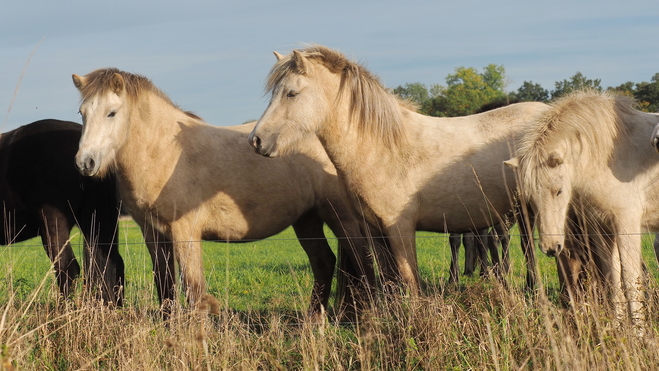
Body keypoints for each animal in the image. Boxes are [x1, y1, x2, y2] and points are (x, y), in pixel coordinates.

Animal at [71, 68, 376, 318]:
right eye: (82, 113)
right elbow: (165, 284)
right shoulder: (152, 233)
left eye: (112, 112)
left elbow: (193, 290)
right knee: (324, 262)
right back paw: (313, 323)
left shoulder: (185, 232)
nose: (85, 162)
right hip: (307, 219)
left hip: (341, 217)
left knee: (362, 262)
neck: (164, 151)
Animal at [248, 44, 548, 294]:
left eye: (291, 93)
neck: (384, 147)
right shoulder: (376, 231)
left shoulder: (400, 228)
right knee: (527, 248)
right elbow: (391, 282)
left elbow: (409, 281)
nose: (256, 140)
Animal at [508, 91, 659, 326]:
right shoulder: (602, 229)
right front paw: (618, 328)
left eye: (559, 191)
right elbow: (613, 283)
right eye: (530, 198)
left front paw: (638, 332)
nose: (550, 247)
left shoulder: (627, 225)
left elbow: (631, 284)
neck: (608, 156)